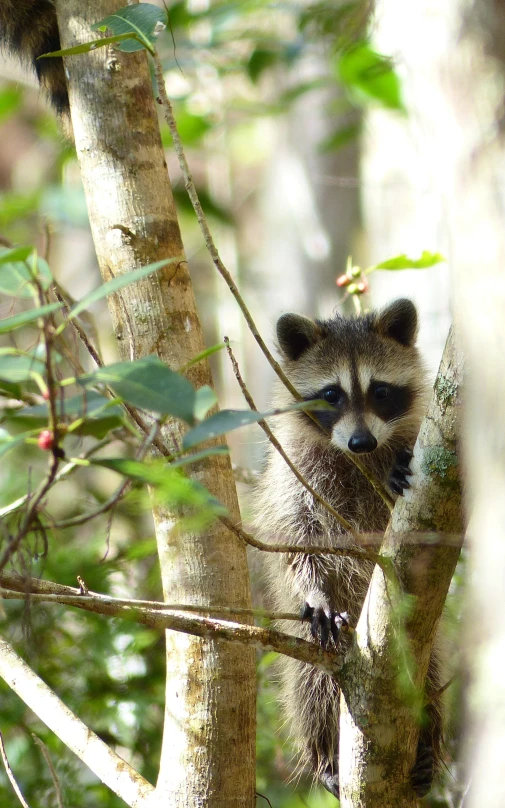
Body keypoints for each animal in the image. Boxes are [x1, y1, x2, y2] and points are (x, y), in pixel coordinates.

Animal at [254, 300, 440, 800]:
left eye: (381, 391)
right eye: (331, 395)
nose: (361, 442)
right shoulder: (295, 473)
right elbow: (297, 540)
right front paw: (314, 592)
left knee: (431, 680)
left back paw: (427, 745)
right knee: (310, 686)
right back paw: (325, 755)